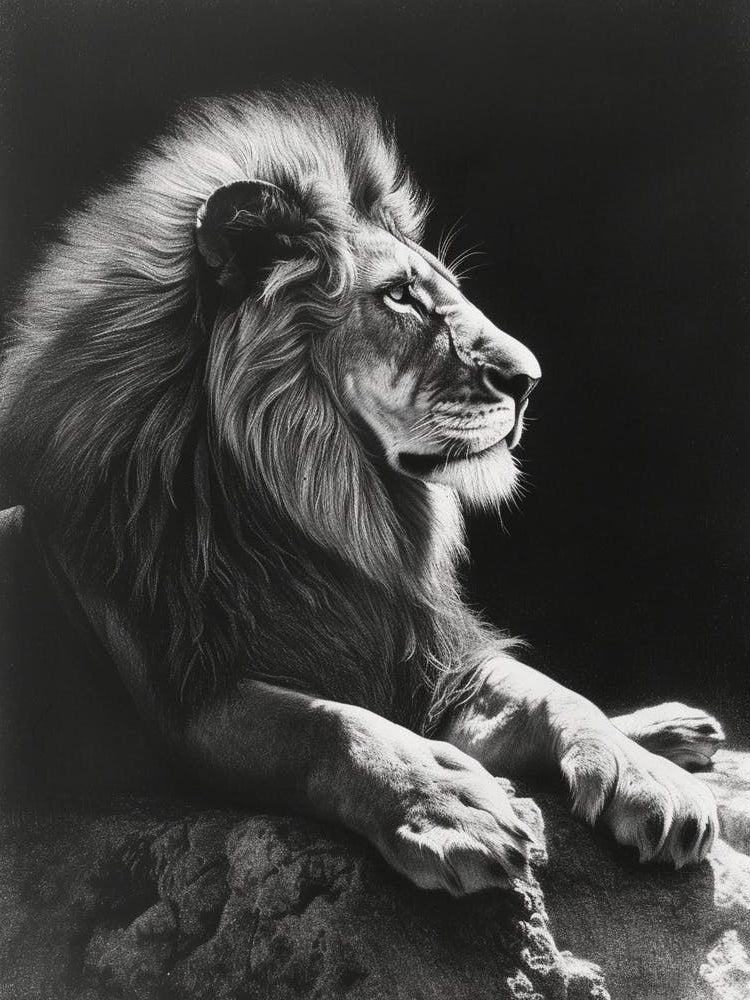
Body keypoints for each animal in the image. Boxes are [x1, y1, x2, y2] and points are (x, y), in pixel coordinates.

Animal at [0, 85, 725, 895]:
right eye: (401, 297)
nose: (529, 379)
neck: (327, 514)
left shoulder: (427, 660)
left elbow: (550, 690)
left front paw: (646, 777)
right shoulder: (187, 704)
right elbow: (327, 725)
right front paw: (449, 807)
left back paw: (670, 732)